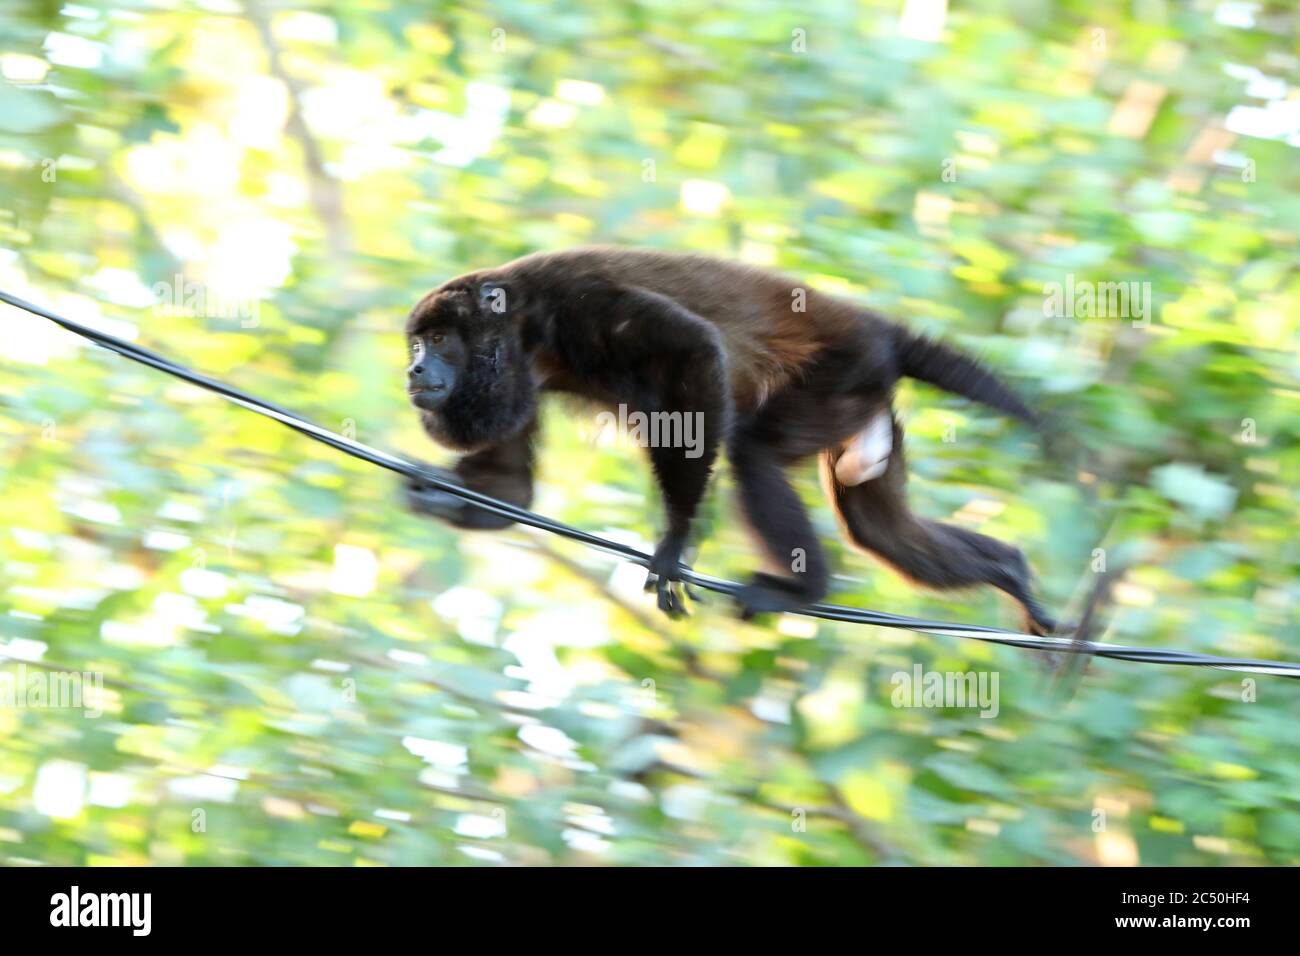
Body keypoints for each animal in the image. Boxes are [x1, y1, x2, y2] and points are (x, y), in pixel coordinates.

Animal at [403, 247, 1055, 634]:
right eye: (417, 343)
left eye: (440, 339)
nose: (412, 369)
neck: (521, 327)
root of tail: (881, 330)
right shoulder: (519, 377)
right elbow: (513, 488)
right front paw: (430, 492)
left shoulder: (576, 299)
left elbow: (695, 349)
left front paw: (676, 541)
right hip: (867, 410)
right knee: (880, 528)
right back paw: (1010, 571)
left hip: (840, 376)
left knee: (754, 452)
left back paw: (803, 591)